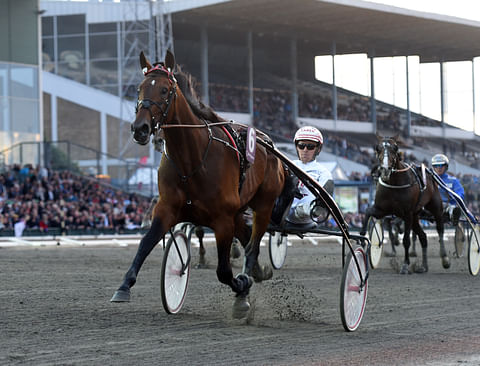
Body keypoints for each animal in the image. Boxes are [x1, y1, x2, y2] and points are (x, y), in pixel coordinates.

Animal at [110, 50, 286, 316]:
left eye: (164, 90)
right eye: (139, 88)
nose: (140, 128)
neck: (191, 159)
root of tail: (268, 143)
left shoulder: (222, 219)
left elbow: (224, 271)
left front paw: (241, 288)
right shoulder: (167, 208)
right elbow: (145, 243)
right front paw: (124, 286)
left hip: (264, 205)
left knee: (253, 245)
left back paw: (250, 274)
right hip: (238, 211)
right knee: (246, 238)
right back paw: (257, 270)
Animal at [360, 136, 450, 274]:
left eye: (395, 148)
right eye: (378, 148)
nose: (385, 170)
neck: (394, 183)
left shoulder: (407, 214)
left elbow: (406, 240)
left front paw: (405, 265)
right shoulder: (382, 210)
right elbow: (368, 212)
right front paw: (362, 237)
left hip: (435, 207)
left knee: (440, 229)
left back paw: (444, 258)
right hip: (416, 216)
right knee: (423, 237)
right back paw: (424, 266)